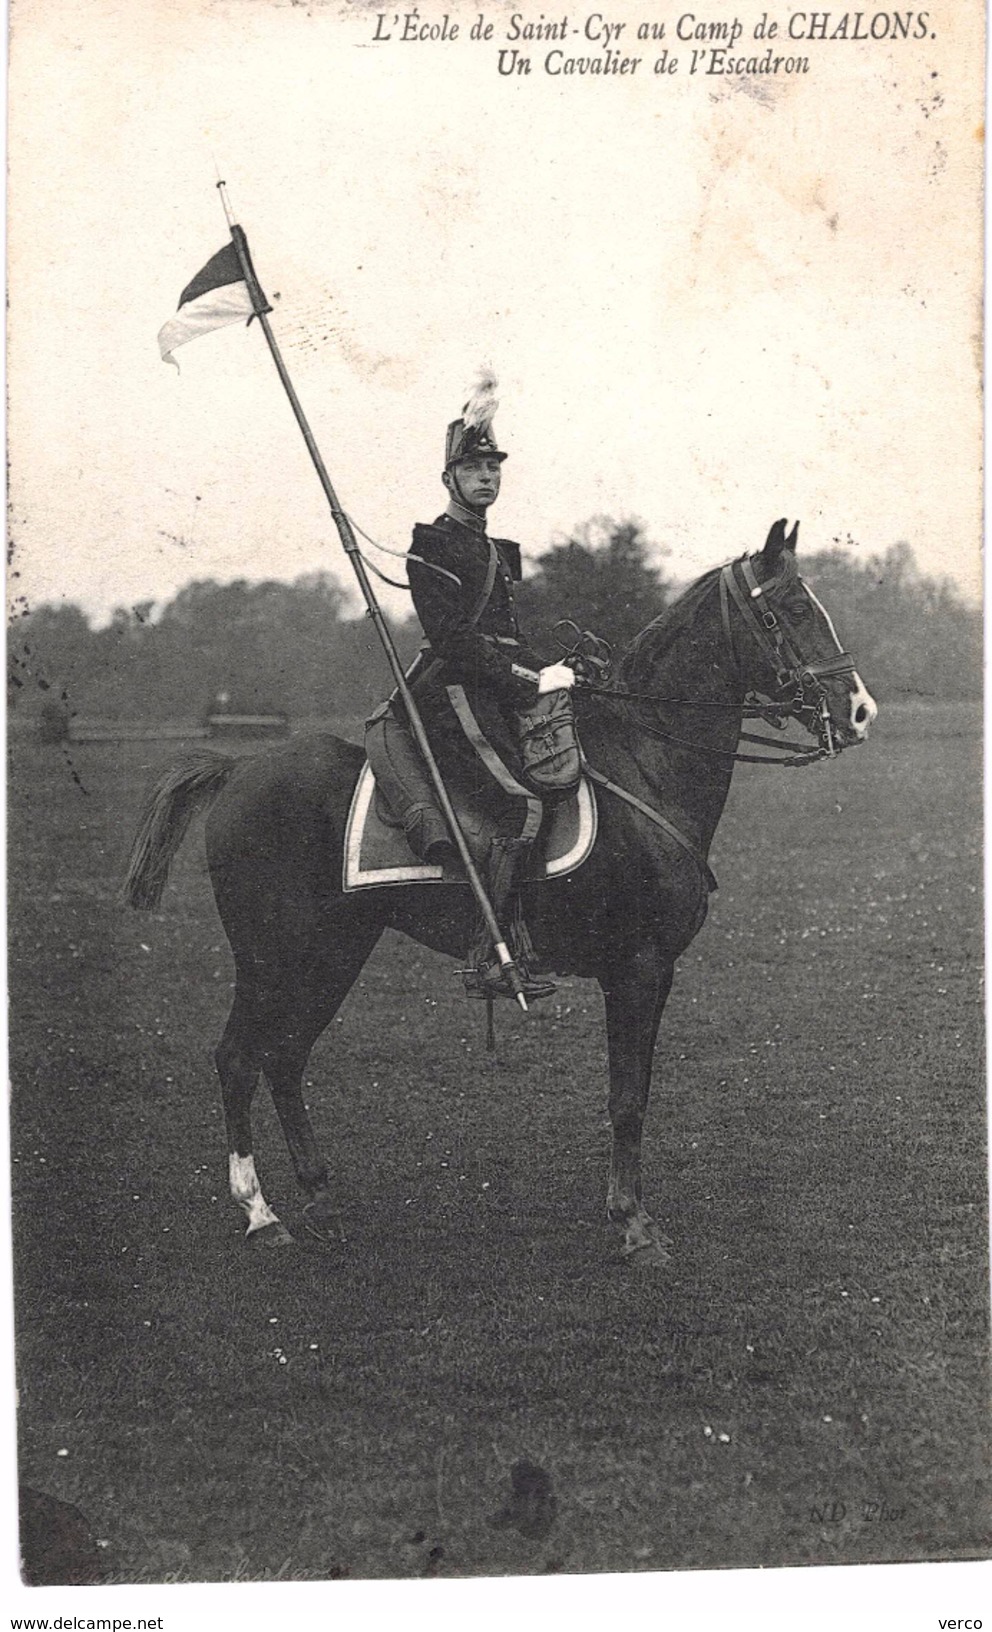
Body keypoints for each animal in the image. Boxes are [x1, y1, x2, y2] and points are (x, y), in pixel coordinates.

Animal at [122, 515, 874, 1253]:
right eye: (792, 609)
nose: (862, 711)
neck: (644, 763)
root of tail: (239, 770)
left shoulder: (644, 972)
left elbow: (630, 1092)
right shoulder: (639, 967)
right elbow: (628, 1098)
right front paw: (633, 1222)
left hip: (333, 950)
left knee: (284, 1056)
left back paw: (320, 1196)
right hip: (270, 954)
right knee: (237, 1058)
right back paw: (260, 1213)